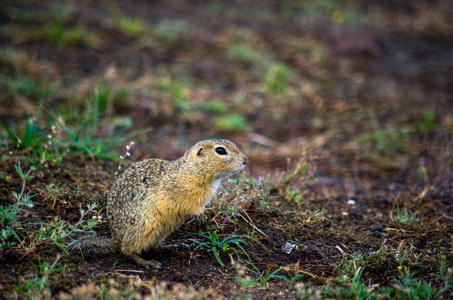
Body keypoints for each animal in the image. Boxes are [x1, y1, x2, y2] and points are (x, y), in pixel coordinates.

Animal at [68, 138, 247, 268]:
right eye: (220, 150)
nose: (245, 160)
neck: (194, 169)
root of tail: (115, 239)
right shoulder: (182, 192)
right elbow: (190, 206)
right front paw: (201, 217)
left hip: (162, 229)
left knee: (154, 246)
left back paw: (175, 247)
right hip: (145, 227)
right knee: (127, 250)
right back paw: (147, 262)